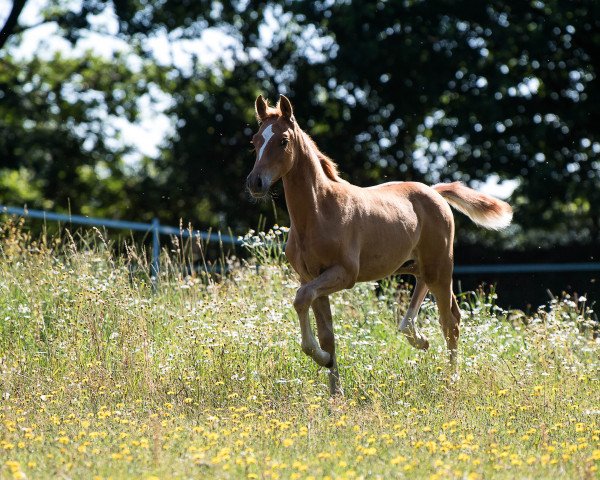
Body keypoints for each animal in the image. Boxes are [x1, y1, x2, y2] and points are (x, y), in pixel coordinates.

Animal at [246, 94, 512, 394]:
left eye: (283, 141)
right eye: (255, 141)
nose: (255, 182)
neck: (319, 212)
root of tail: (434, 192)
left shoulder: (344, 274)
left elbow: (301, 299)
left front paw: (321, 359)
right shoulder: (310, 278)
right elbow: (326, 333)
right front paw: (334, 389)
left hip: (441, 266)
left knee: (450, 321)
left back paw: (450, 380)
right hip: (414, 266)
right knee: (424, 299)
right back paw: (418, 339)